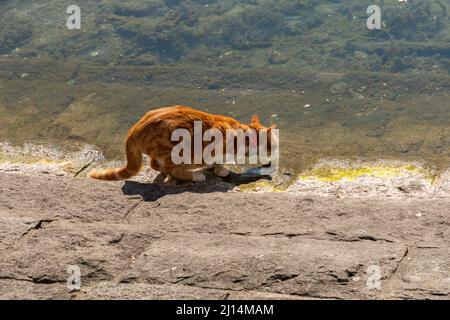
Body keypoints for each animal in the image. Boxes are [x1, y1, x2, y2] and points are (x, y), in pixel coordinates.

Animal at [89, 106, 276, 182]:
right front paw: (220, 170)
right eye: (273, 145)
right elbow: (219, 161)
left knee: (155, 164)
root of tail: (134, 130)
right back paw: (195, 176)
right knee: (170, 168)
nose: (275, 151)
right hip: (175, 150)